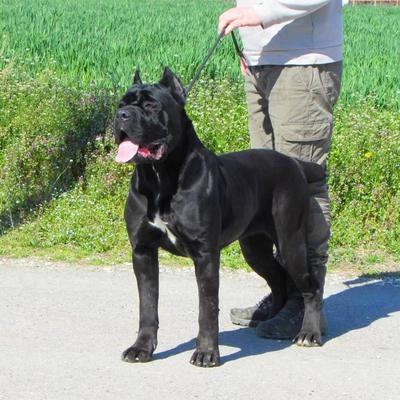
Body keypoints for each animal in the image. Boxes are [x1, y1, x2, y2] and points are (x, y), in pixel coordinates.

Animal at [114, 67, 325, 367]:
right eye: (122, 103)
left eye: (151, 105)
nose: (122, 115)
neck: (159, 177)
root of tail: (294, 163)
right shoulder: (142, 251)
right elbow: (147, 305)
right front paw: (141, 348)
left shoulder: (205, 255)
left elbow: (207, 307)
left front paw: (206, 352)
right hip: (255, 248)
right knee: (278, 279)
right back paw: (269, 318)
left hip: (290, 242)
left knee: (311, 286)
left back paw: (309, 332)